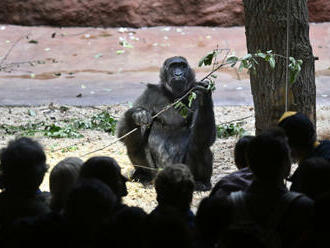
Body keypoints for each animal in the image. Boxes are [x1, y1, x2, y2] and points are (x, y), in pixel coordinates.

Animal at [116, 56, 217, 191]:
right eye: (173, 66)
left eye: (182, 66)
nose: (178, 73)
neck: (174, 95)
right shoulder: (149, 94)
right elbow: (122, 133)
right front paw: (137, 114)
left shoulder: (193, 91)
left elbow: (208, 138)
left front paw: (204, 96)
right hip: (155, 173)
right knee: (132, 143)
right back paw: (143, 175)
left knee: (200, 145)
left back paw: (201, 182)